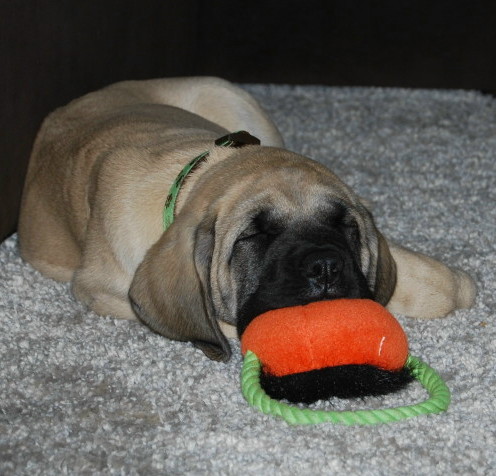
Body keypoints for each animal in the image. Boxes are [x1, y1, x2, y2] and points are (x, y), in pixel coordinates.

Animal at [19, 77, 476, 360]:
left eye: (344, 225)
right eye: (254, 236)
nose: (326, 266)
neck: (194, 175)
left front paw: (453, 286)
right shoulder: (101, 291)